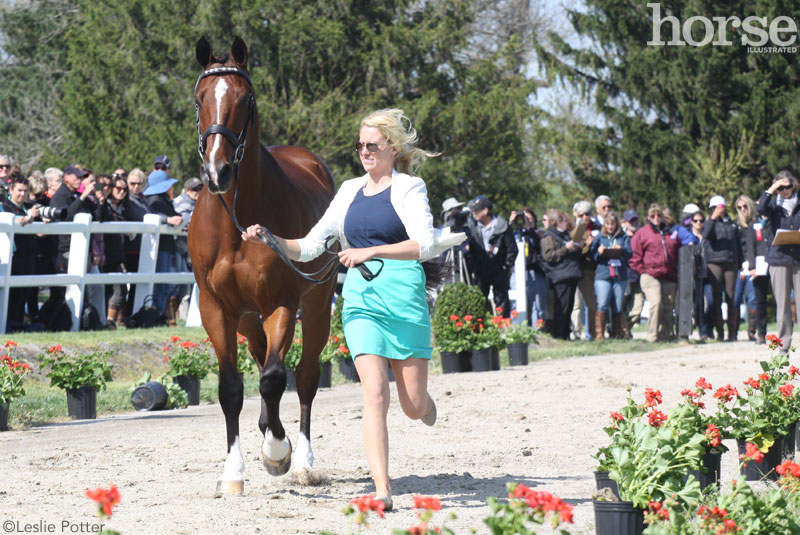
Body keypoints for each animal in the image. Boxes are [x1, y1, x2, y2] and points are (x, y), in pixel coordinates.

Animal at [189, 37, 340, 496]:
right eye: (199, 99)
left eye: (245, 99)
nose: (217, 171)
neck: (236, 223)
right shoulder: (216, 309)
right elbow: (230, 388)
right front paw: (232, 472)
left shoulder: (281, 304)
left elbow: (275, 378)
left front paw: (278, 453)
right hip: (245, 316)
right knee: (260, 359)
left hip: (316, 304)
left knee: (304, 376)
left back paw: (302, 458)